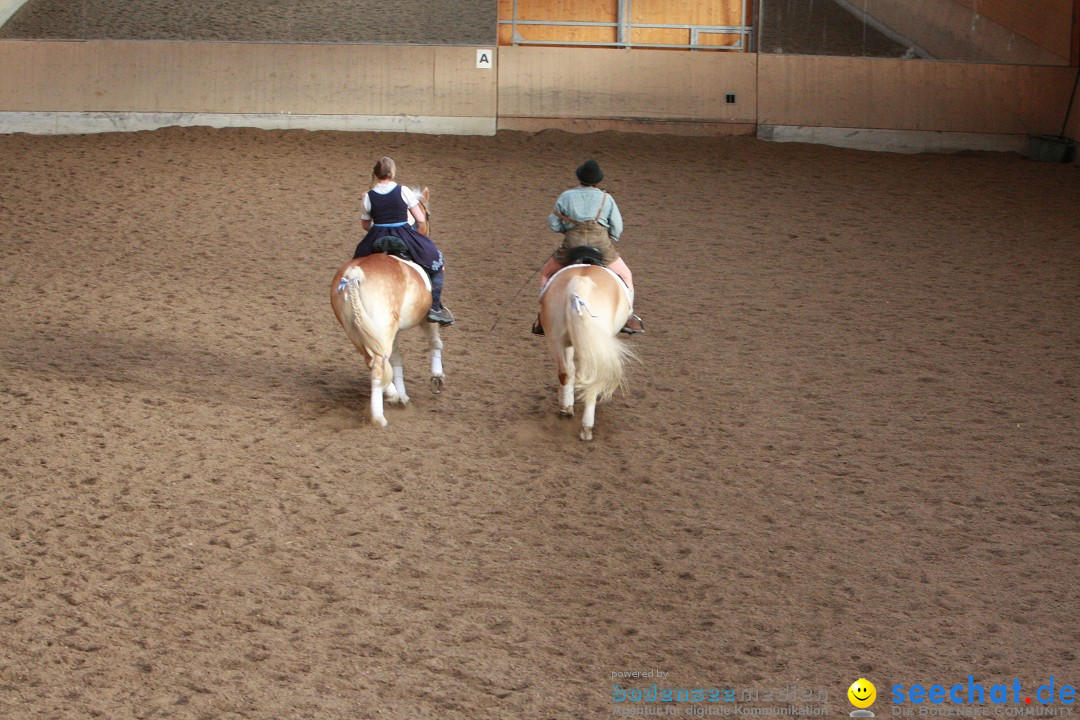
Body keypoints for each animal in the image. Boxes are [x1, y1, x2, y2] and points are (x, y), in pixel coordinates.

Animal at [330, 187, 444, 427]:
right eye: (428, 216)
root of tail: (353, 275)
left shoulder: (393, 330)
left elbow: (397, 359)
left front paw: (402, 395)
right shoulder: (426, 318)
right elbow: (435, 342)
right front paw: (437, 379)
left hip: (358, 330)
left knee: (374, 359)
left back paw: (392, 395)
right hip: (381, 328)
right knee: (377, 364)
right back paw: (379, 416)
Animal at [537, 259, 630, 440]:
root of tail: (579, 284)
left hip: (557, 340)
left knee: (565, 372)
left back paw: (566, 409)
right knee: (592, 380)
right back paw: (586, 428)